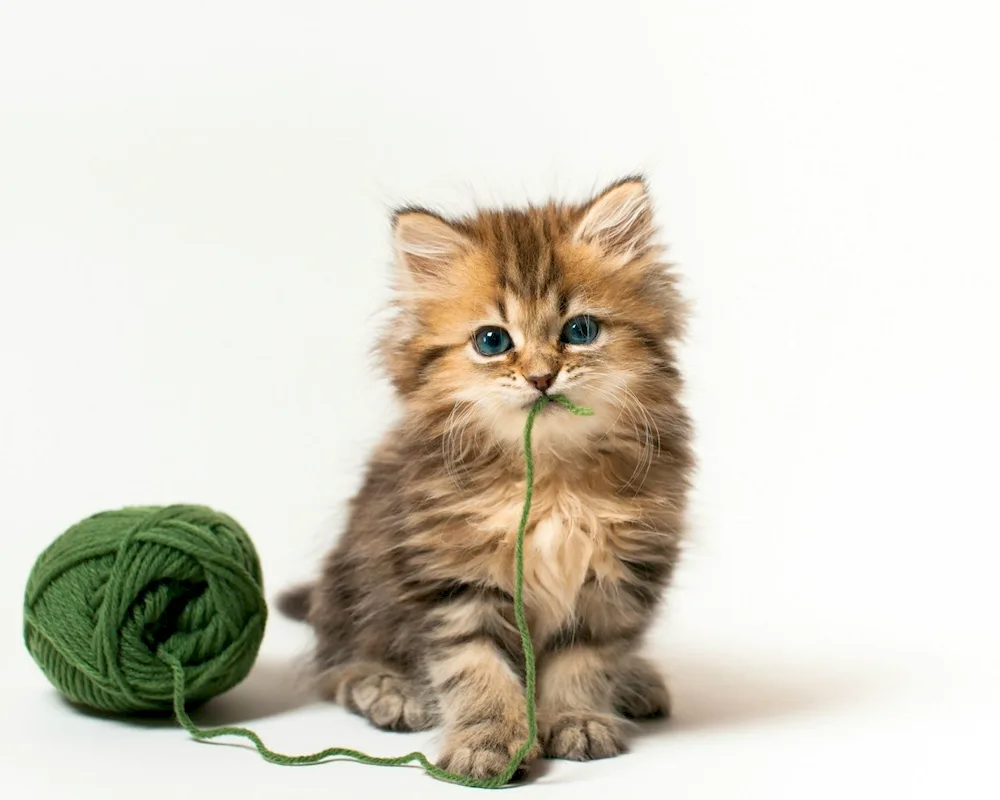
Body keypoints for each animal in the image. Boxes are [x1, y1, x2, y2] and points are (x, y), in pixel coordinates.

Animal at [278, 177, 692, 780]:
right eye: (493, 341)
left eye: (580, 331)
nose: (542, 376)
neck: (549, 480)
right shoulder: (452, 580)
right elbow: (477, 670)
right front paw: (488, 743)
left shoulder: (613, 580)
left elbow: (585, 660)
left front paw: (577, 720)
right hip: (351, 583)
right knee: (337, 662)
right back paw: (387, 690)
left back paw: (636, 682)